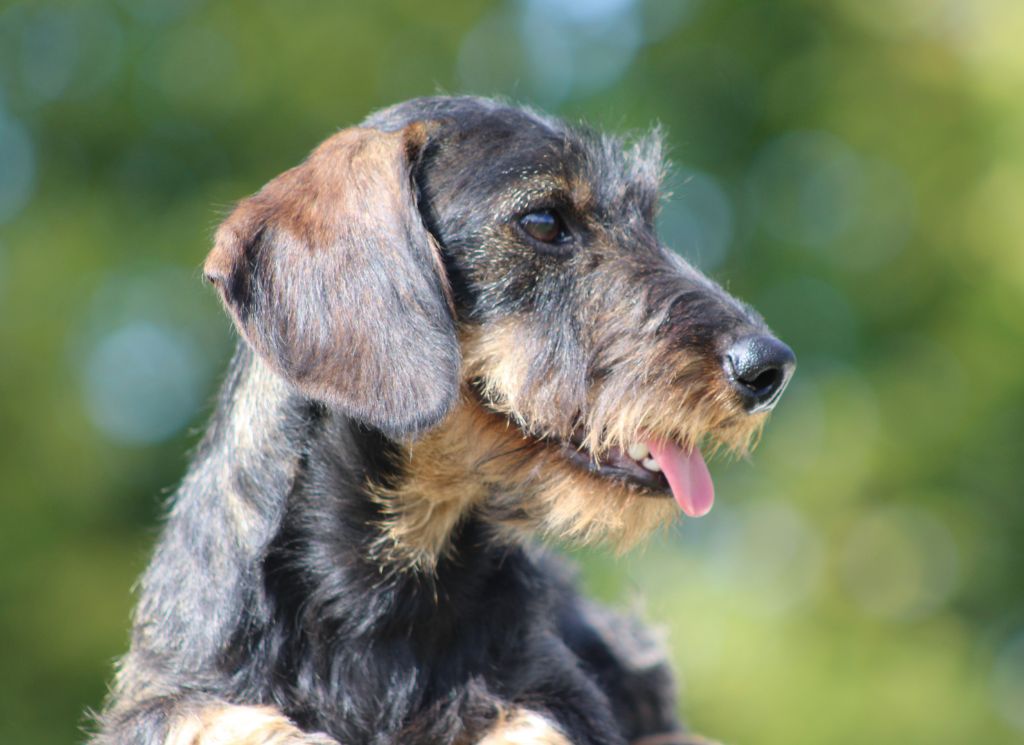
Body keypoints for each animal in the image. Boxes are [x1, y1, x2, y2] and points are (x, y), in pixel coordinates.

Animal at [90, 96, 795, 745]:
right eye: (544, 221)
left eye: (648, 223)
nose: (768, 368)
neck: (393, 570)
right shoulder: (166, 699)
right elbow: (218, 721)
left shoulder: (553, 696)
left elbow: (533, 726)